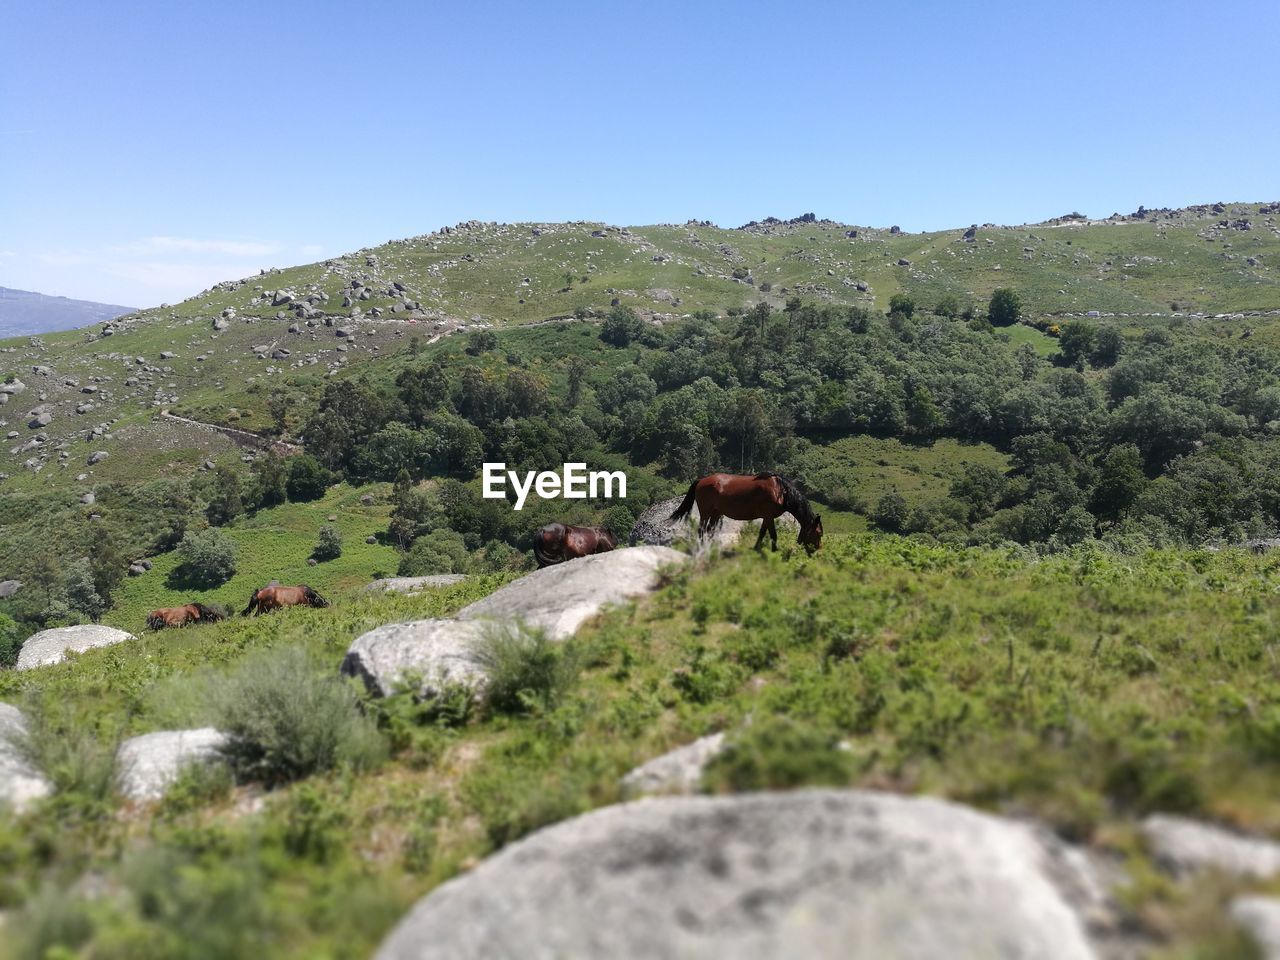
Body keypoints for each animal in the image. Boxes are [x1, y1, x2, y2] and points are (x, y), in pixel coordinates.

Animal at [665, 476, 824, 555]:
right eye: (818, 533)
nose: (818, 551)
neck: (781, 492)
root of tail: (701, 480)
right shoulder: (769, 516)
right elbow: (773, 534)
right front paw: (774, 551)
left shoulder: (767, 517)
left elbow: (762, 533)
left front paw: (756, 548)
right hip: (706, 512)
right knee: (701, 530)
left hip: (716, 513)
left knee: (709, 530)